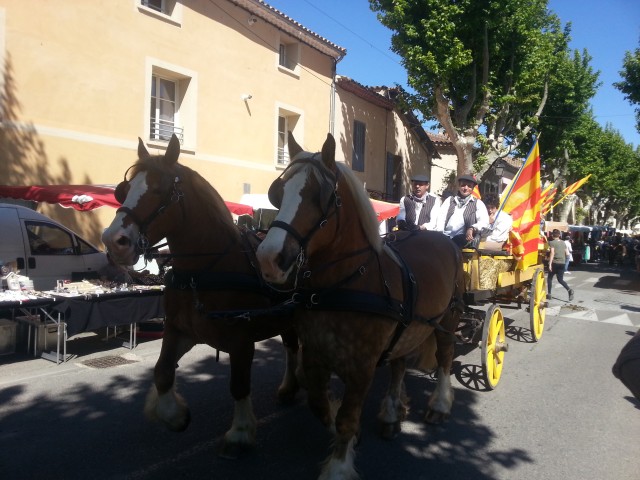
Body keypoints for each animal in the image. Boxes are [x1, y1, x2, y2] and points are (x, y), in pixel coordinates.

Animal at [101, 135, 298, 458]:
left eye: (159, 190)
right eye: (123, 191)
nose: (112, 241)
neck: (202, 272)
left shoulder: (241, 340)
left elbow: (239, 384)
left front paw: (240, 432)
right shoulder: (180, 331)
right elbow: (162, 371)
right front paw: (174, 414)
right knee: (293, 349)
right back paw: (289, 388)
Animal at [256, 132, 464, 480]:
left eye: (319, 196)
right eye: (278, 192)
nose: (270, 259)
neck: (344, 284)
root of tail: (442, 238)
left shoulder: (362, 366)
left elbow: (346, 418)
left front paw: (339, 466)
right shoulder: (314, 356)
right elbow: (319, 405)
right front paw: (352, 439)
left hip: (447, 319)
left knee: (445, 358)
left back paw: (439, 405)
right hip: (407, 325)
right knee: (398, 365)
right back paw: (392, 412)